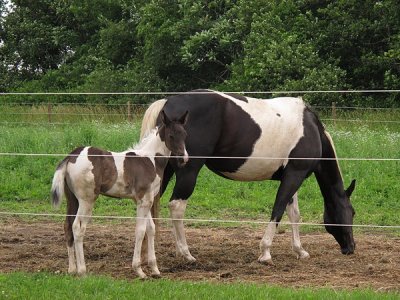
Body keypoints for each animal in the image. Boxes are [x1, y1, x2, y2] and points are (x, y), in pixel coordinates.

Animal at [51, 110, 189, 278]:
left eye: (185, 134)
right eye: (171, 135)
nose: (184, 159)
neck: (150, 160)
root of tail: (71, 156)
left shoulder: (145, 199)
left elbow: (151, 228)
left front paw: (155, 269)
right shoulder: (143, 200)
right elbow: (140, 230)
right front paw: (139, 270)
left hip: (72, 199)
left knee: (67, 226)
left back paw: (71, 269)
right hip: (86, 200)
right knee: (77, 227)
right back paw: (82, 271)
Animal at [141, 89, 356, 264]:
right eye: (352, 212)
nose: (351, 248)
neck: (311, 129)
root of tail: (168, 102)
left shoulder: (292, 176)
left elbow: (293, 213)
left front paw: (299, 250)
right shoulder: (295, 175)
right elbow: (278, 210)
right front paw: (265, 253)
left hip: (164, 171)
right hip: (188, 171)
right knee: (176, 206)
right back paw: (185, 254)